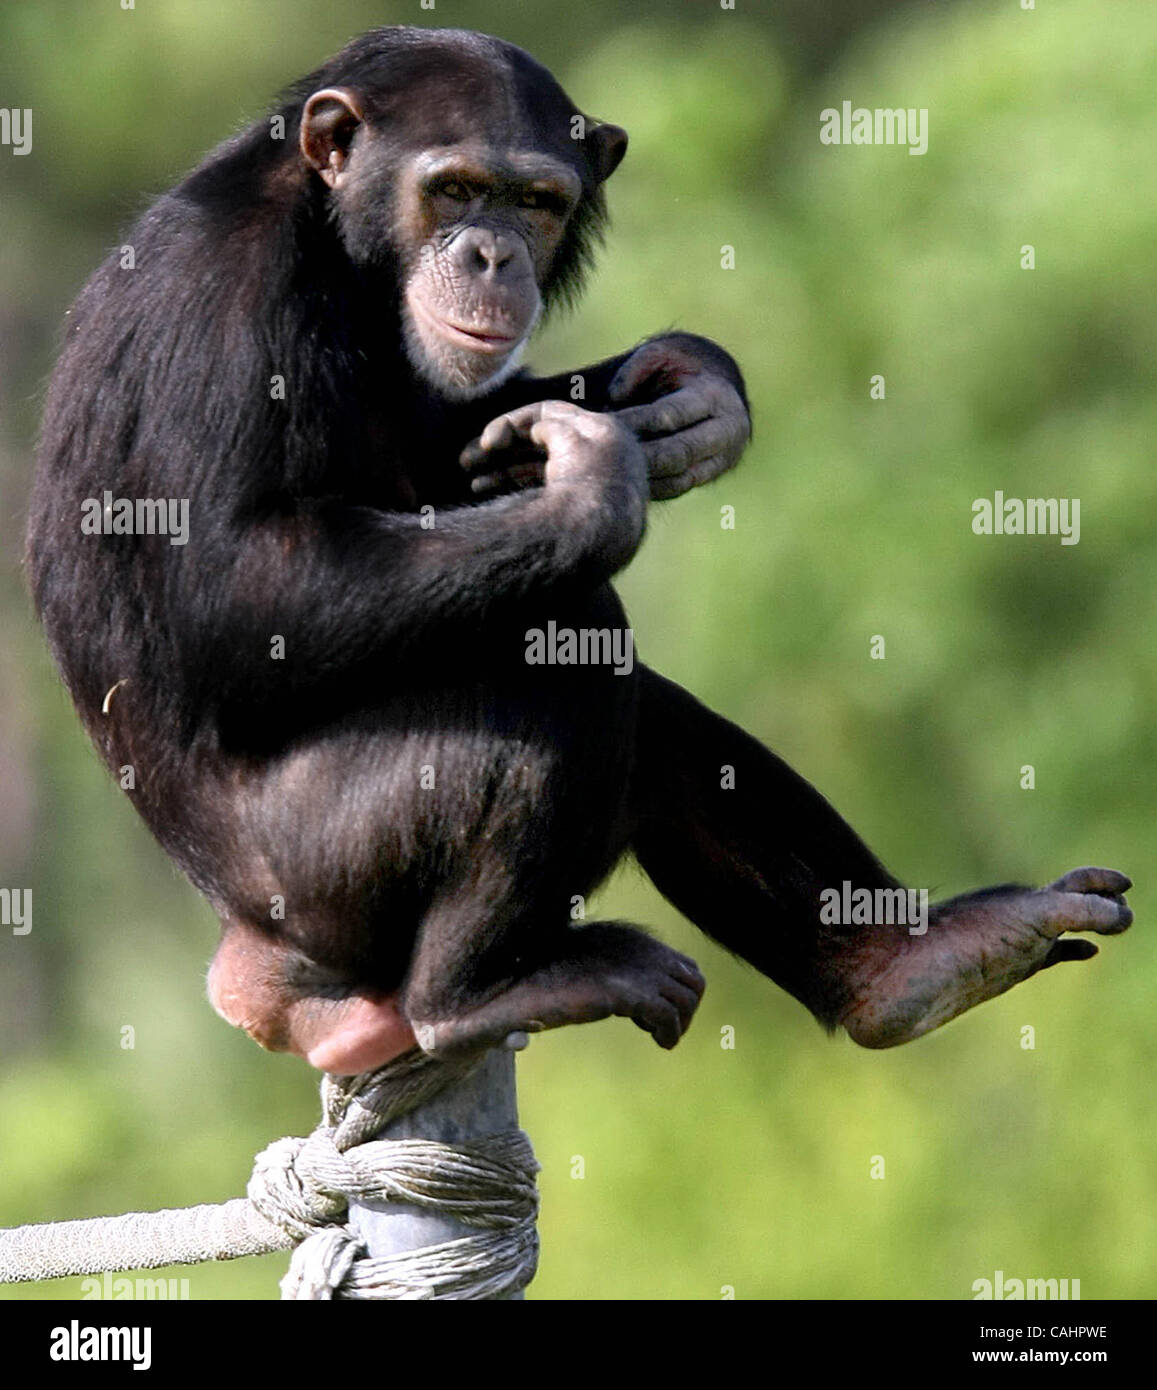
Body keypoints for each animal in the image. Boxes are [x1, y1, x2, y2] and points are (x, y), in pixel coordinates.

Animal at [27, 29, 1129, 1073]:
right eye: (454, 189)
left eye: (537, 201)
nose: (492, 255)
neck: (335, 240)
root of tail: (254, 971)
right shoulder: (222, 296)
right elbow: (234, 586)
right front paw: (595, 487)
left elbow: (450, 439)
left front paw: (692, 388)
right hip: (320, 880)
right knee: (562, 637)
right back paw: (477, 992)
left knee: (637, 695)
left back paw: (915, 964)